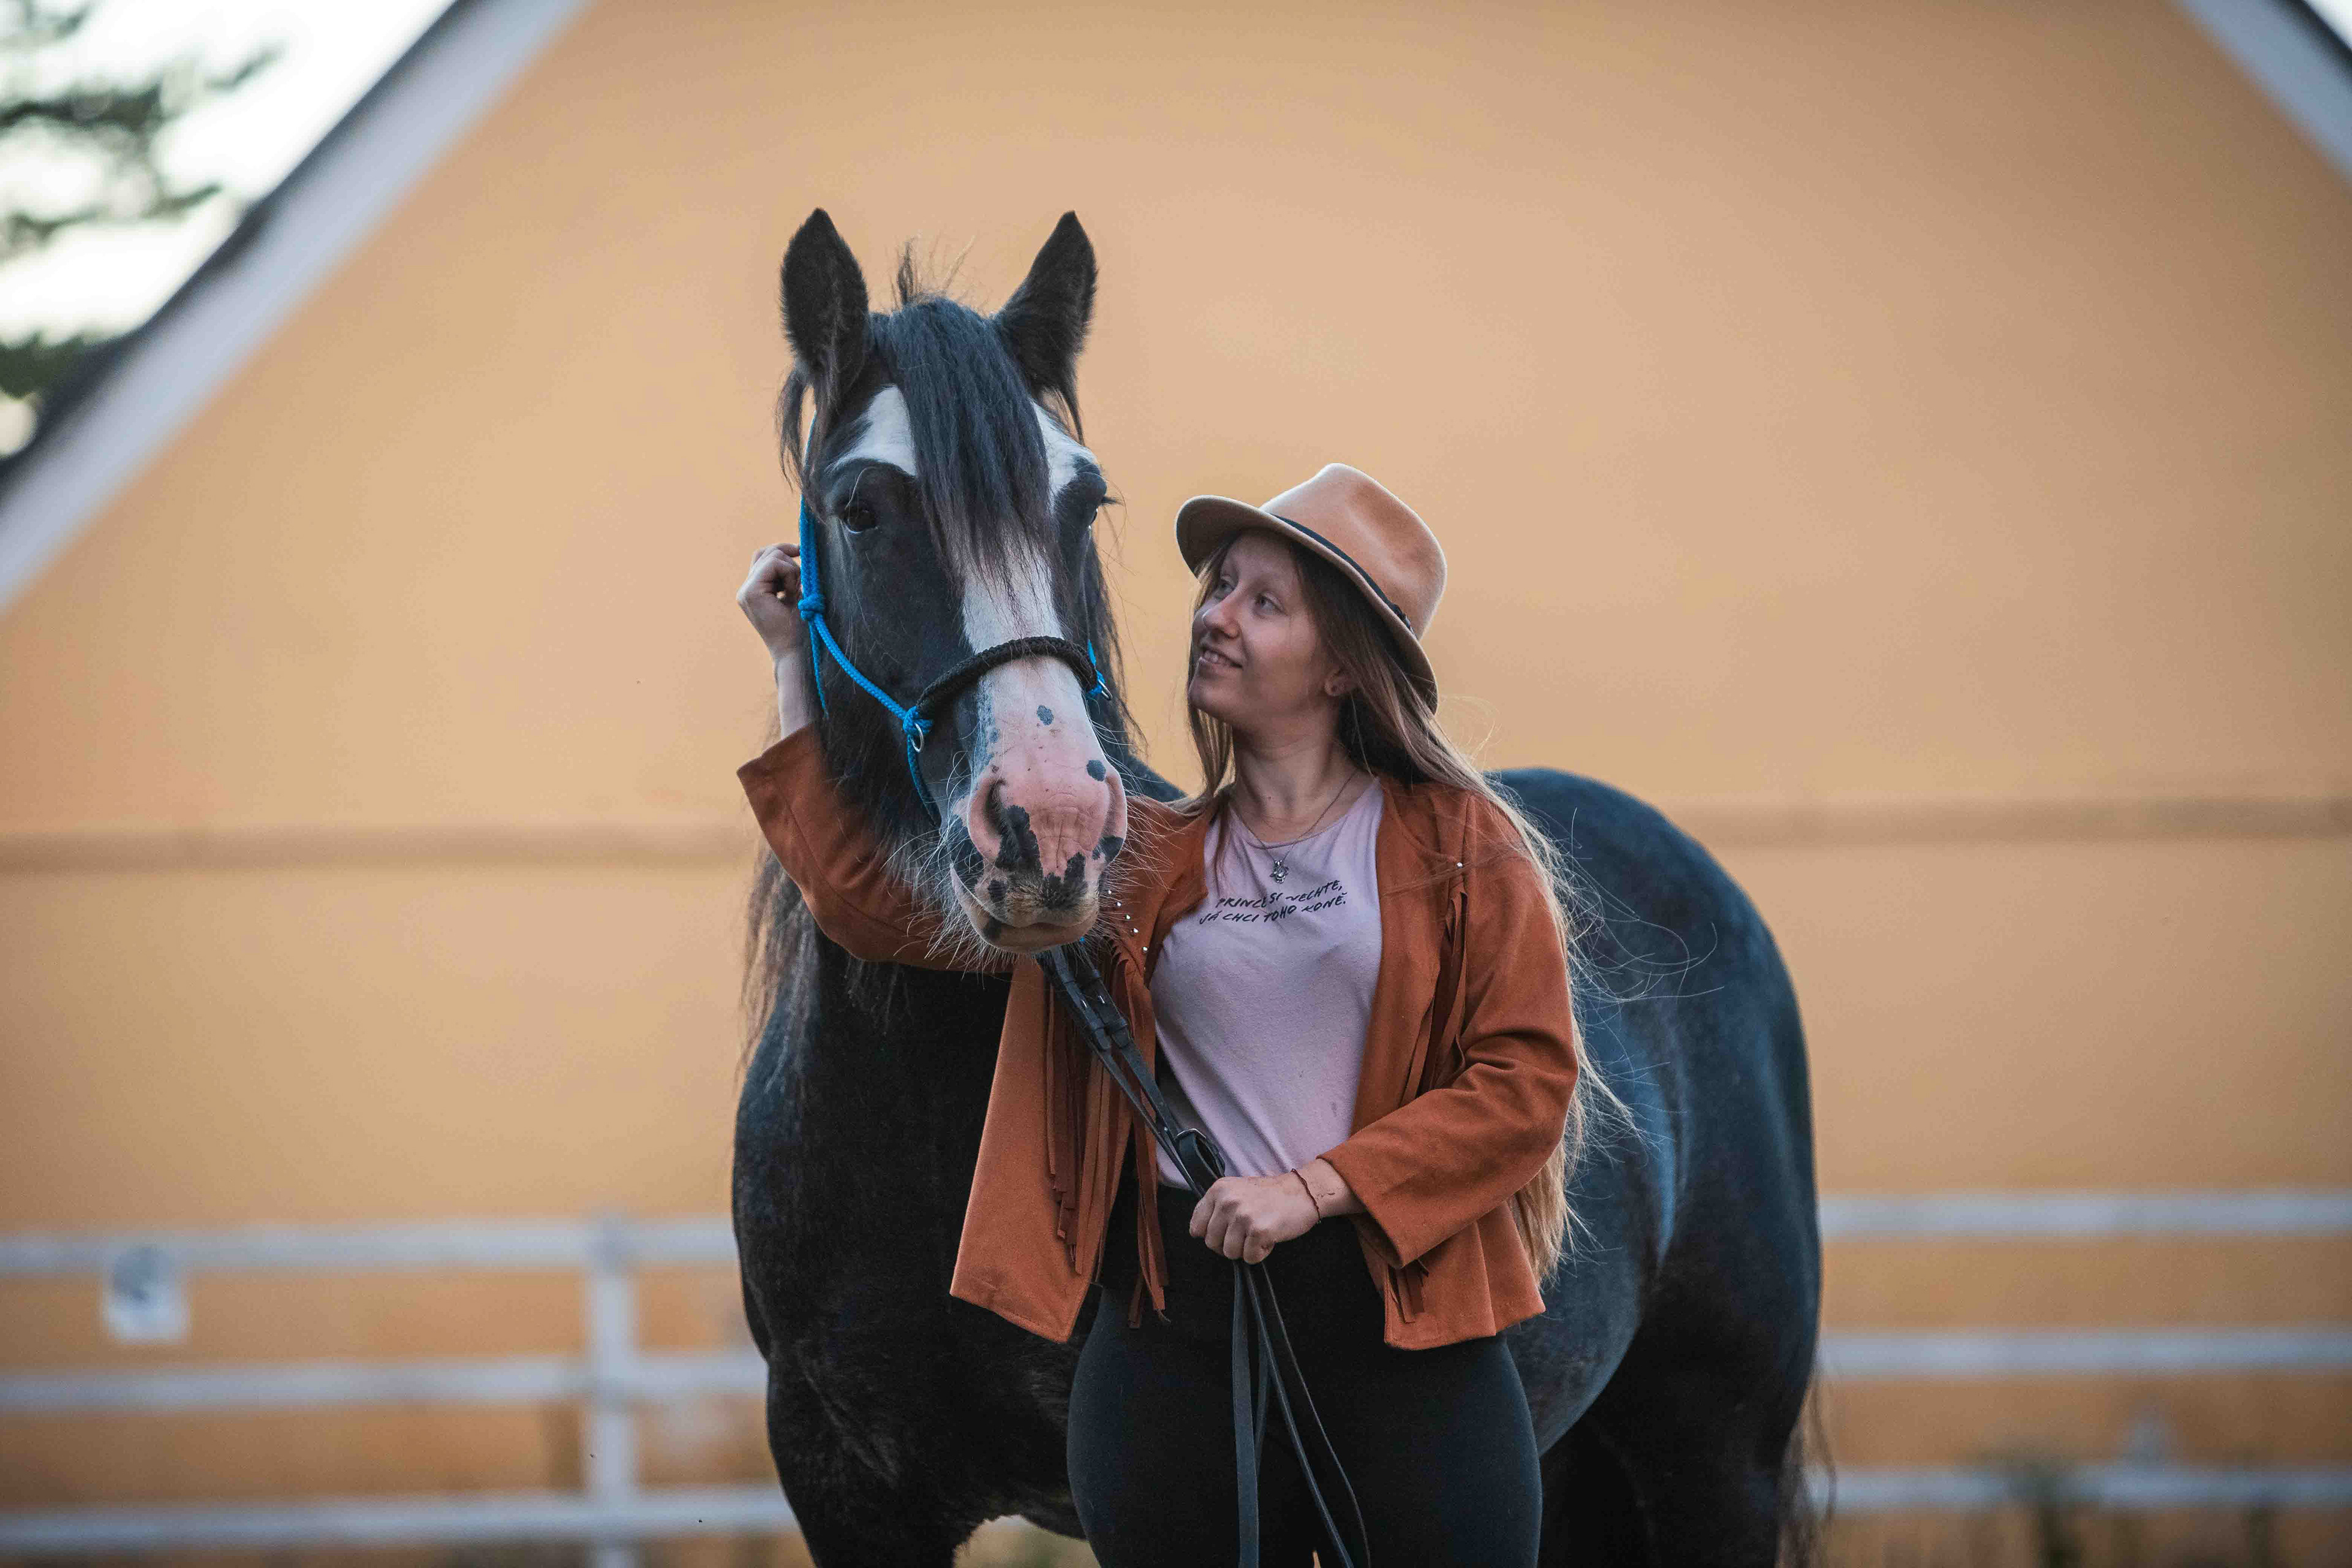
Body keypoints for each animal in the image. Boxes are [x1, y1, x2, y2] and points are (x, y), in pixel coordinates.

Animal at [733, 208, 1823, 1566]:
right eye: (861, 506)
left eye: (1081, 499)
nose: (1052, 825)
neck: (915, 1114)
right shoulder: (847, 1491)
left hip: (1714, 1464)